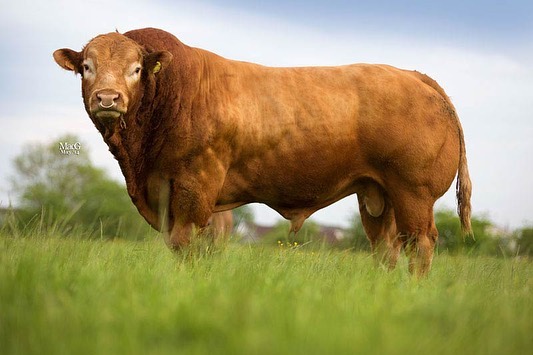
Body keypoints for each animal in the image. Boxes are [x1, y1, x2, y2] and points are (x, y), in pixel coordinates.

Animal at [54, 28, 470, 278]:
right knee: (385, 247)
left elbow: (186, 242)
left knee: (421, 241)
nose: (108, 98)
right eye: (87, 67)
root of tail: (414, 75)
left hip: (413, 190)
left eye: (136, 69)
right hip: (377, 193)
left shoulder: (196, 183)